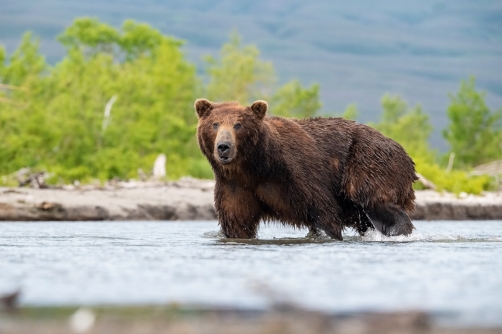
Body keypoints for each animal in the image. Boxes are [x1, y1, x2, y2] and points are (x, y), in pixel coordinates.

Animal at [194, 98, 418, 239]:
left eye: (238, 125)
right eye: (215, 124)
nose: (224, 146)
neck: (256, 168)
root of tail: (407, 155)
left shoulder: (298, 173)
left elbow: (324, 213)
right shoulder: (235, 187)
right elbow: (237, 223)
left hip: (367, 160)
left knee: (370, 198)